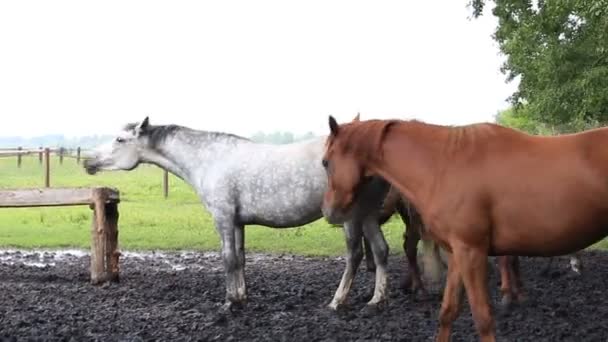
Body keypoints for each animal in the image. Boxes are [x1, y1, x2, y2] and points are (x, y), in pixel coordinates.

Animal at [82, 118, 442, 312]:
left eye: (120, 139)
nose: (88, 161)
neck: (209, 158)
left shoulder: (223, 218)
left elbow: (228, 259)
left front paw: (230, 303)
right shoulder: (238, 222)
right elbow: (240, 259)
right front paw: (241, 296)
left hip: (352, 217)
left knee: (355, 255)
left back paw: (337, 302)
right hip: (367, 215)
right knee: (380, 251)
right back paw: (376, 300)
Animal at [318, 115, 608, 342]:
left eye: (325, 162)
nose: (329, 211)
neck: (444, 165)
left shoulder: (471, 252)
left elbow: (482, 318)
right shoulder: (457, 253)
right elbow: (448, 312)